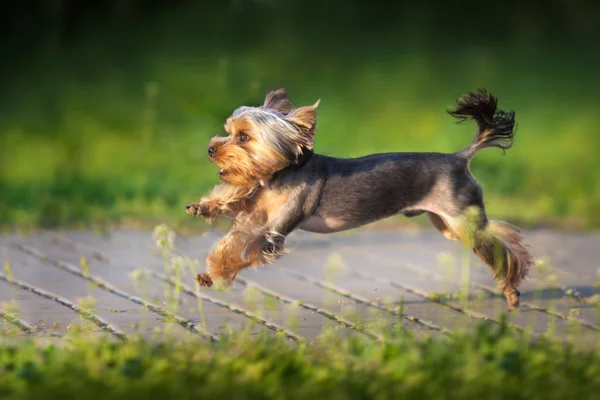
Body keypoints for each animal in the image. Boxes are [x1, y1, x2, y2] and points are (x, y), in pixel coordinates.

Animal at [186, 89, 536, 310]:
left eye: (243, 137)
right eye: (227, 132)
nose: (210, 148)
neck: (280, 173)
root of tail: (460, 157)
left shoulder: (273, 231)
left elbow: (243, 248)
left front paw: (215, 274)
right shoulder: (257, 211)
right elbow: (235, 213)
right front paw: (204, 207)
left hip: (463, 219)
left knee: (504, 245)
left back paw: (512, 289)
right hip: (448, 223)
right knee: (503, 235)